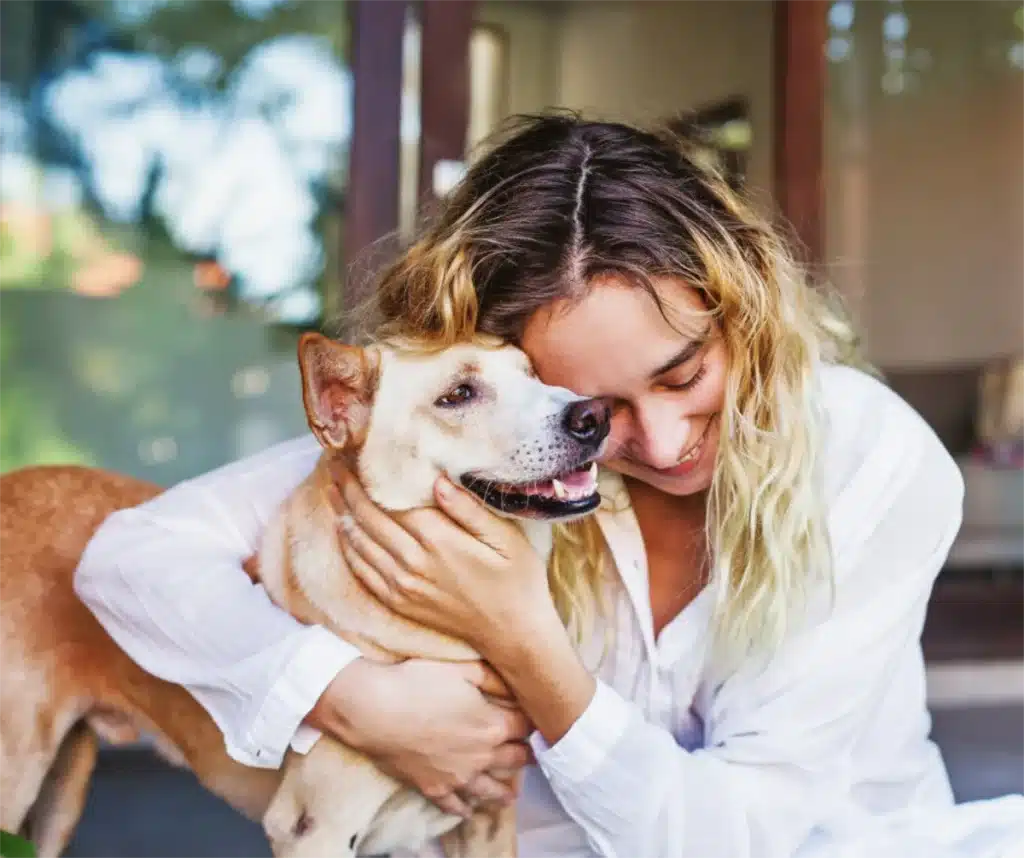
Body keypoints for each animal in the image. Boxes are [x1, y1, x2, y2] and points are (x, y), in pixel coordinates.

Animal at [0, 333, 606, 858]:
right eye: (457, 395)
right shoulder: (312, 829)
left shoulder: (486, 821)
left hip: (60, 795)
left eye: (534, 373)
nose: (594, 414)